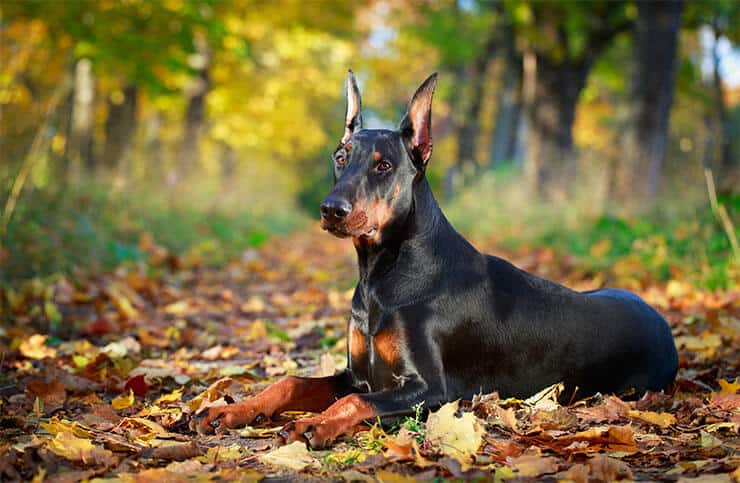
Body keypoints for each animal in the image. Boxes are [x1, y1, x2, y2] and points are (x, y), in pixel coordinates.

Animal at [197, 72, 676, 450]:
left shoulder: (432, 390)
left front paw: (316, 424)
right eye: (340, 157)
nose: (330, 209)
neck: (382, 275)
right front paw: (233, 410)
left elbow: (354, 401)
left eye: (383, 166)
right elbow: (291, 381)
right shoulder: (359, 373)